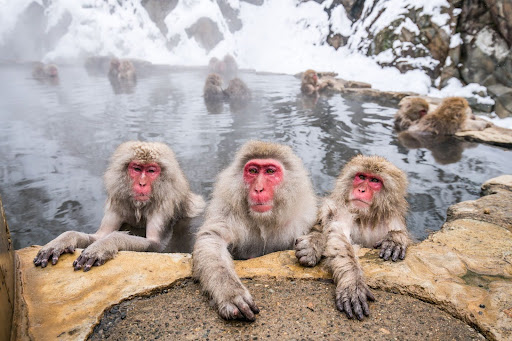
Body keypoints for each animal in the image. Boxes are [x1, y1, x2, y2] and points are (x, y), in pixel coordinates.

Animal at [32, 139, 206, 270]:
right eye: (137, 168)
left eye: (151, 171)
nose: (142, 184)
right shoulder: (118, 203)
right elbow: (98, 235)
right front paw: (63, 240)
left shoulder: (164, 206)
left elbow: (157, 246)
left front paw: (105, 245)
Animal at [194, 139, 318, 320]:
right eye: (253, 171)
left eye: (270, 171)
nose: (258, 189)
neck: (264, 220)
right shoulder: (227, 210)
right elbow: (212, 238)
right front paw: (231, 293)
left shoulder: (304, 217)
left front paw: (312, 246)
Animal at [296, 155, 408, 320]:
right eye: (361, 177)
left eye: (374, 180)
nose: (361, 189)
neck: (365, 218)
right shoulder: (342, 210)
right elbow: (338, 237)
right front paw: (353, 283)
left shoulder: (392, 219)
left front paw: (395, 239)